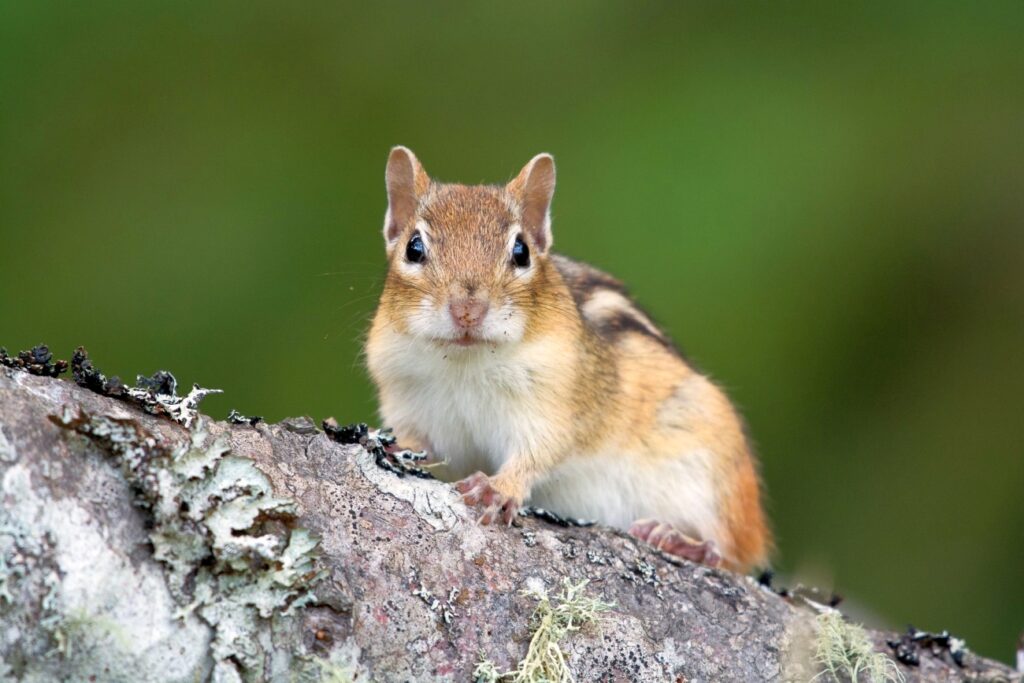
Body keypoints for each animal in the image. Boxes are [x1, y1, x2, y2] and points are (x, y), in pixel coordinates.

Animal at [365, 147, 771, 572]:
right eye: (414, 247)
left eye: (521, 251)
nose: (467, 310)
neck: (464, 363)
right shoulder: (409, 403)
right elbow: (418, 444)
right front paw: (388, 446)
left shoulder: (556, 403)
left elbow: (538, 452)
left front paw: (498, 487)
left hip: (713, 473)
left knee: (730, 552)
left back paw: (681, 541)